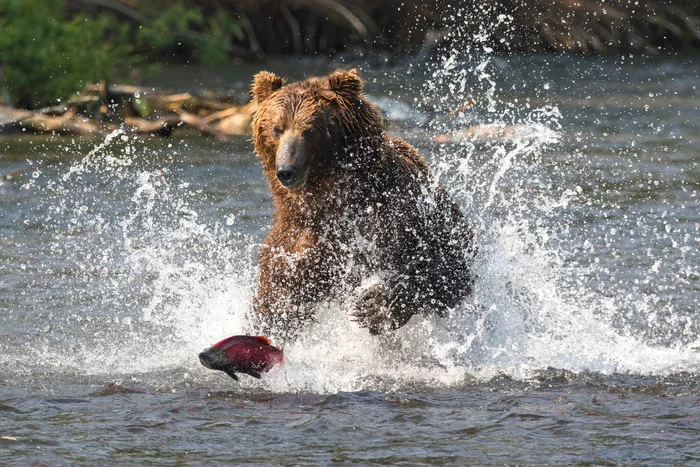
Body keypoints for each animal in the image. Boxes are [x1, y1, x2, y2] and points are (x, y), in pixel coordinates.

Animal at [249, 69, 474, 338]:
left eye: (310, 130)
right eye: (277, 128)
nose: (286, 170)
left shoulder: (401, 216)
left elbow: (445, 267)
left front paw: (374, 307)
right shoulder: (297, 241)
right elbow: (278, 293)